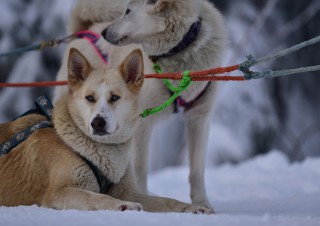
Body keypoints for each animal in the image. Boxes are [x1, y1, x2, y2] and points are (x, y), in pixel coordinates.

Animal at [0, 47, 212, 214]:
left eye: (115, 97)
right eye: (90, 98)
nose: (98, 123)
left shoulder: (128, 191)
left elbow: (167, 201)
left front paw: (191, 207)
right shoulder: (58, 192)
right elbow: (96, 197)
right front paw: (122, 205)